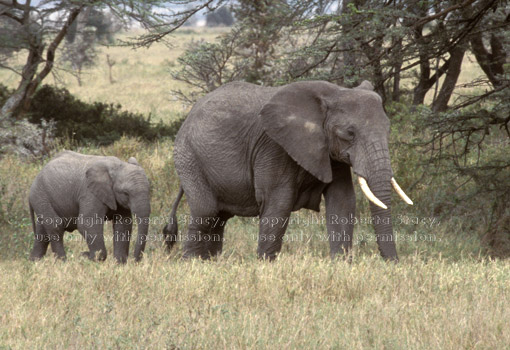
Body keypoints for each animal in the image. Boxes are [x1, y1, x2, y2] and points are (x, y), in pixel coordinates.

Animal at [163, 80, 410, 262]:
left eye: (388, 129)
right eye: (349, 133)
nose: (392, 263)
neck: (332, 93)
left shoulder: (330, 153)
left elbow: (343, 201)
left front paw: (340, 265)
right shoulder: (274, 147)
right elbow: (278, 203)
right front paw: (265, 266)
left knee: (218, 218)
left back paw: (210, 262)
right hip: (189, 156)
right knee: (206, 212)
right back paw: (191, 264)